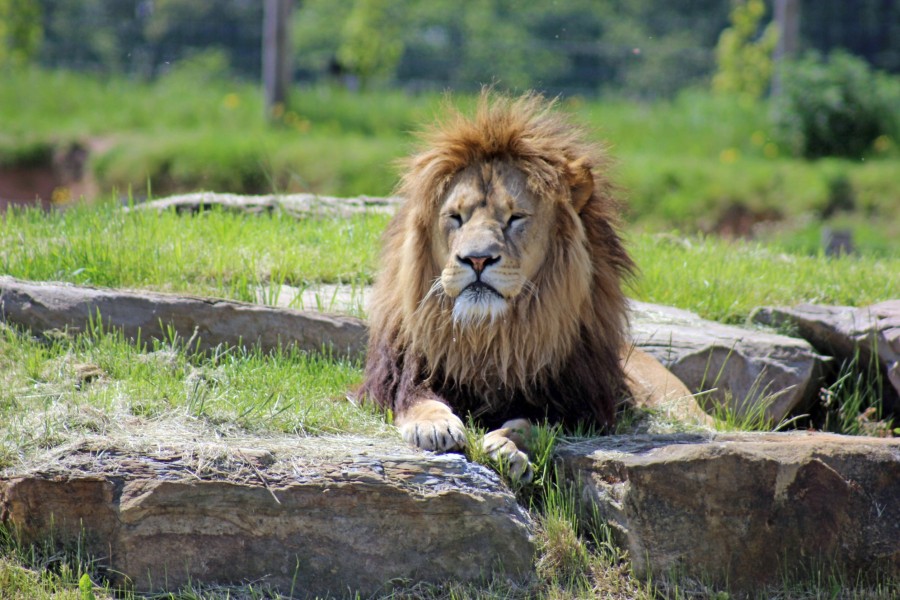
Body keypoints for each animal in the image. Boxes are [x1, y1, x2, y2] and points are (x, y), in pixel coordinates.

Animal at [360, 91, 712, 480]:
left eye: (515, 218)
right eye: (455, 217)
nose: (477, 259)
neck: (489, 337)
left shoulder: (577, 408)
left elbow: (531, 424)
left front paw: (505, 448)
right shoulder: (398, 378)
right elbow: (417, 399)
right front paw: (434, 425)